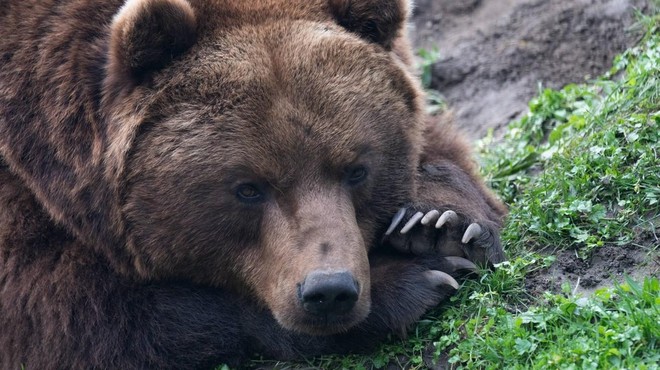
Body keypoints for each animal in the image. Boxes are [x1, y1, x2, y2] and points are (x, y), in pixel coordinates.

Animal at [1, 0, 506, 366]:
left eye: (356, 169)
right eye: (247, 187)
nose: (330, 291)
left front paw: (440, 225)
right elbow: (68, 317)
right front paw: (408, 282)